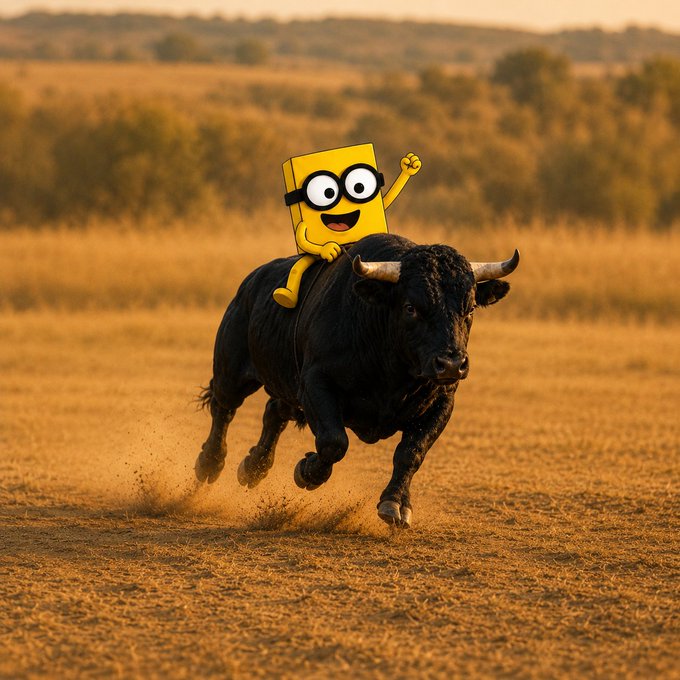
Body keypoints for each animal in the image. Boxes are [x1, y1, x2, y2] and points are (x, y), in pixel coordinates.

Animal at [195, 233, 519, 528]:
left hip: (288, 391)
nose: (451, 363)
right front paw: (307, 472)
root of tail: (250, 284)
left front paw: (396, 504)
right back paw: (209, 465)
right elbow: (334, 442)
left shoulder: (442, 400)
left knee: (274, 412)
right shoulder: (315, 383)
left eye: (471, 308)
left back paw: (253, 468)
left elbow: (411, 453)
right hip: (232, 372)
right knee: (224, 409)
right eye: (410, 307)